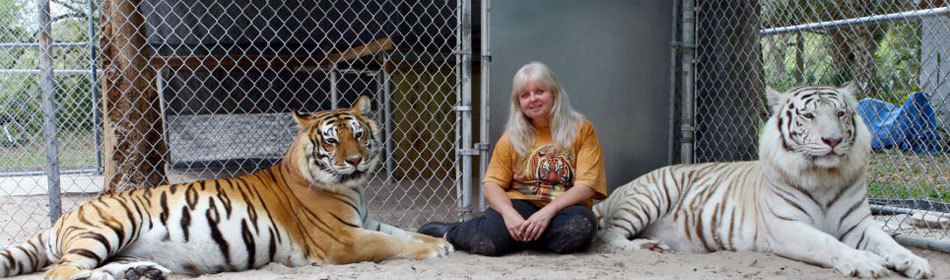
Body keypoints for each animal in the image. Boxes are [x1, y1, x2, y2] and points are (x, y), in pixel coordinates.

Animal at [600, 83, 932, 278]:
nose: (833, 140)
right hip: (651, 196)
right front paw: (866, 262)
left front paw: (914, 262)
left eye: (840, 113)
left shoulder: (858, 224)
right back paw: (639, 247)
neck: (825, 176)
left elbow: (888, 241)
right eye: (809, 116)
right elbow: (828, 243)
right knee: (608, 235)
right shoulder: (787, 226)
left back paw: (653, 244)